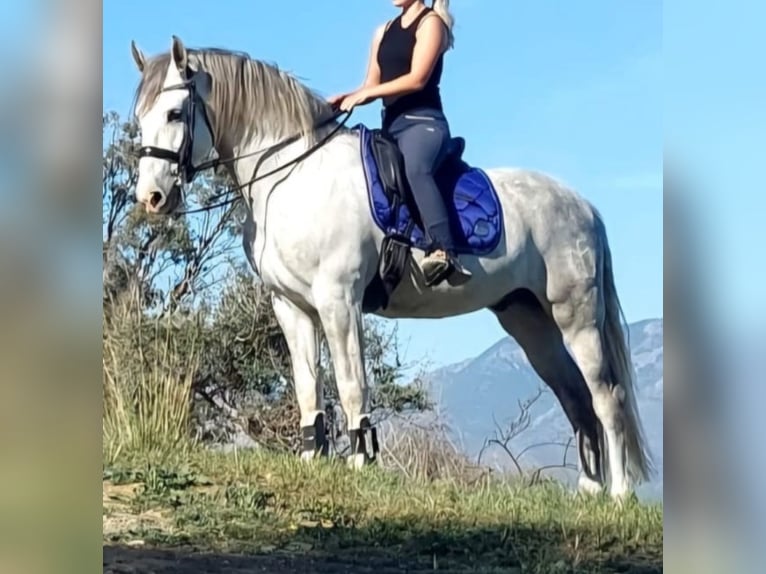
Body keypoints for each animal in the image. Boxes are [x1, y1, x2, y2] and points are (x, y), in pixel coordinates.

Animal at [128, 35, 654, 500]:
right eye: (140, 118)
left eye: (174, 113)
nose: (151, 198)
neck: (292, 176)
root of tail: (583, 206)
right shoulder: (292, 306)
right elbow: (307, 386)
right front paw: (312, 458)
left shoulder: (338, 300)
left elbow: (351, 384)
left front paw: (361, 461)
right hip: (529, 321)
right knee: (575, 396)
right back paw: (589, 488)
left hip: (576, 317)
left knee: (606, 396)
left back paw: (619, 494)